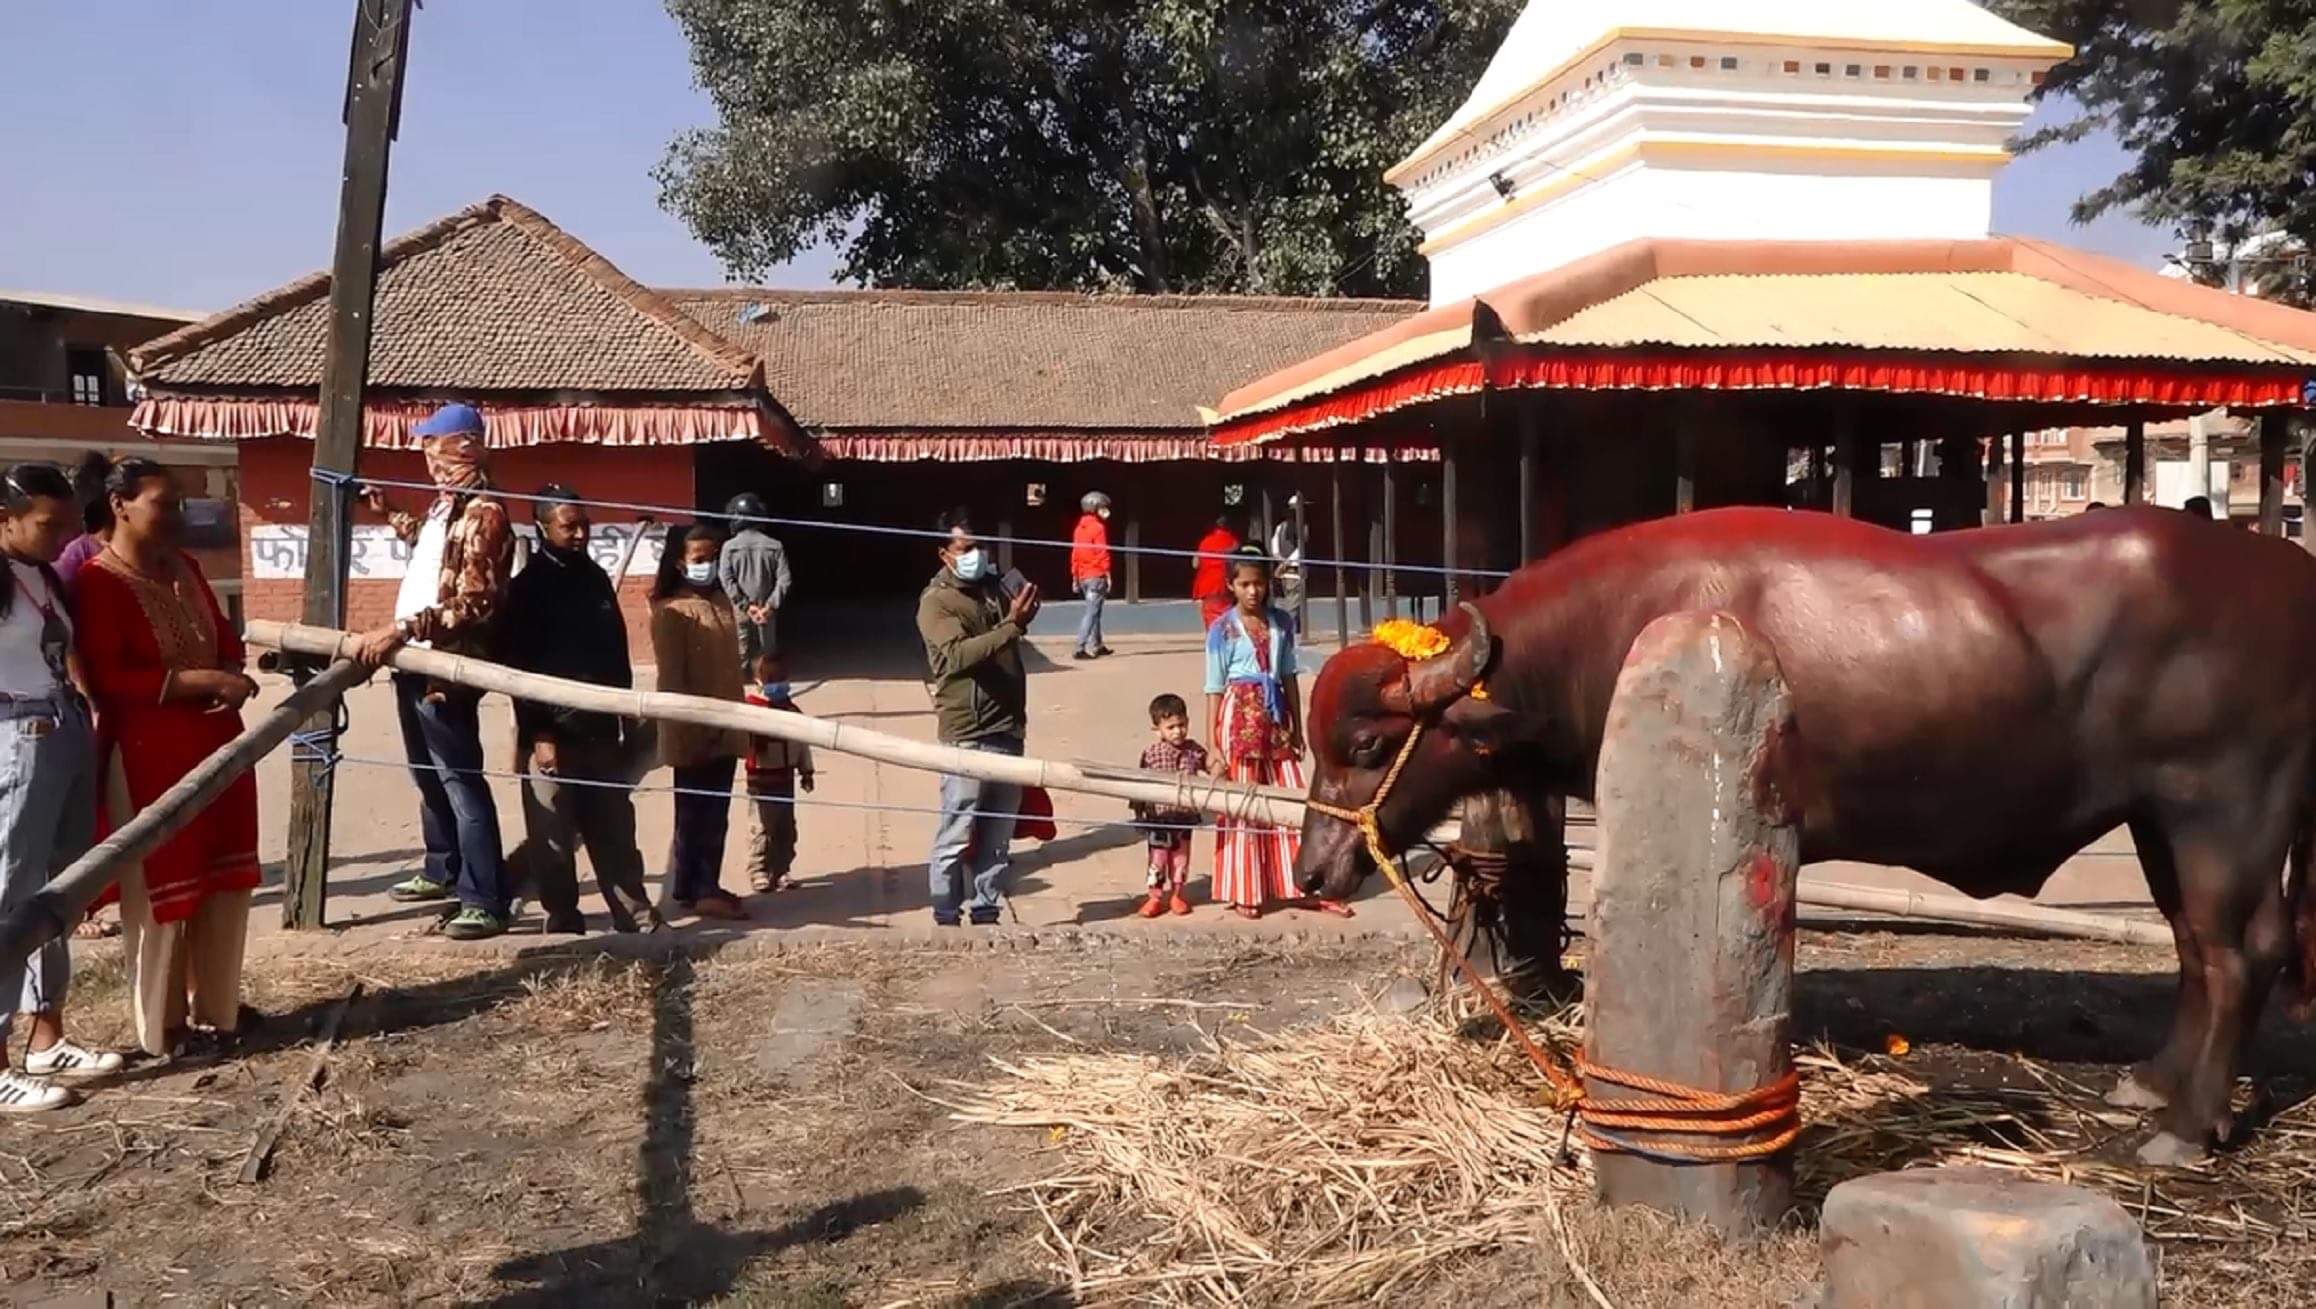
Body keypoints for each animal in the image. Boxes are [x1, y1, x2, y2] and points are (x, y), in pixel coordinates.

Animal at [1306, 505, 2316, 1158]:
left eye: (1367, 742)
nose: (1317, 871)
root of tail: (2284, 572)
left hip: (2224, 806)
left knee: (2240, 952)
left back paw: (2184, 1130)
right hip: (2159, 818)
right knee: (2196, 947)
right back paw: (2156, 1082)